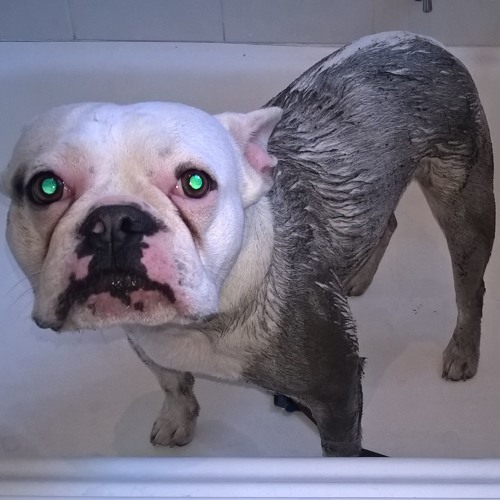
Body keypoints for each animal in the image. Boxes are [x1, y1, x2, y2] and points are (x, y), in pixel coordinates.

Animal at [2, 32, 495, 457]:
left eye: (195, 183)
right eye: (45, 188)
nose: (113, 221)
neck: (194, 326)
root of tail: (420, 40)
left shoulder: (338, 391)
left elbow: (341, 448)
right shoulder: (150, 347)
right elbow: (174, 385)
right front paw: (177, 420)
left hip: (464, 202)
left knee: (470, 288)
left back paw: (462, 352)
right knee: (386, 219)